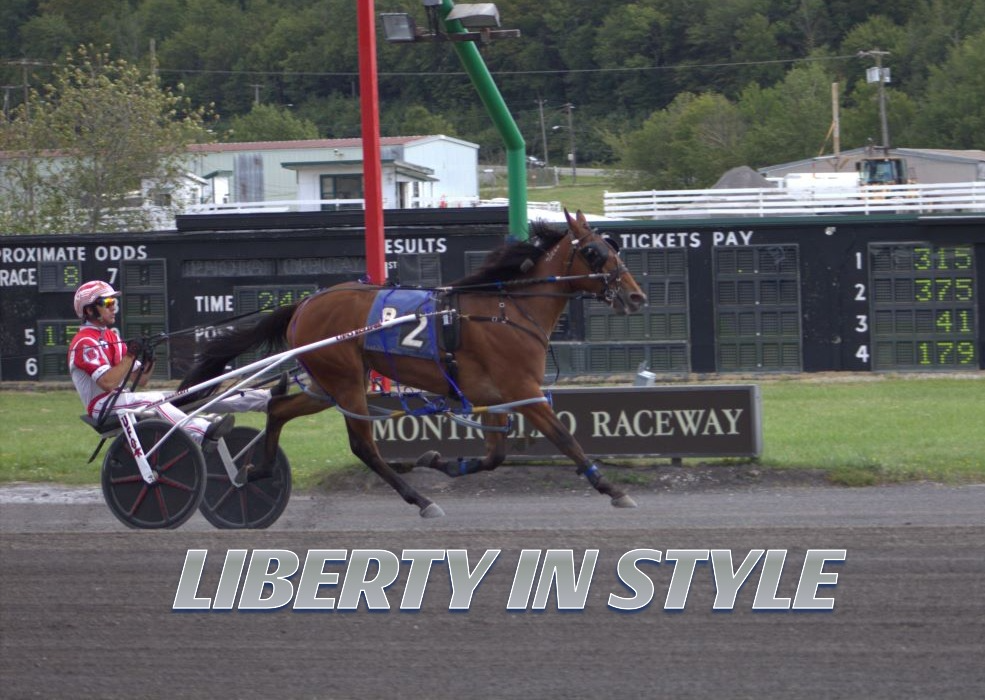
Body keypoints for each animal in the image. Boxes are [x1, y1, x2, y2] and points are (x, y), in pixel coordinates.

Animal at [179, 209, 648, 517]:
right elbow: (565, 438)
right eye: (594, 252)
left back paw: (254, 471)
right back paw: (420, 500)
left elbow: (494, 456)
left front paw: (439, 461)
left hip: (326, 384)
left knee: (278, 407)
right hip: (344, 379)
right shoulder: (523, 390)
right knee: (363, 446)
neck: (507, 310)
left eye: (612, 247)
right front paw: (611, 487)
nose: (636, 295)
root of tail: (305, 304)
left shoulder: (494, 397)